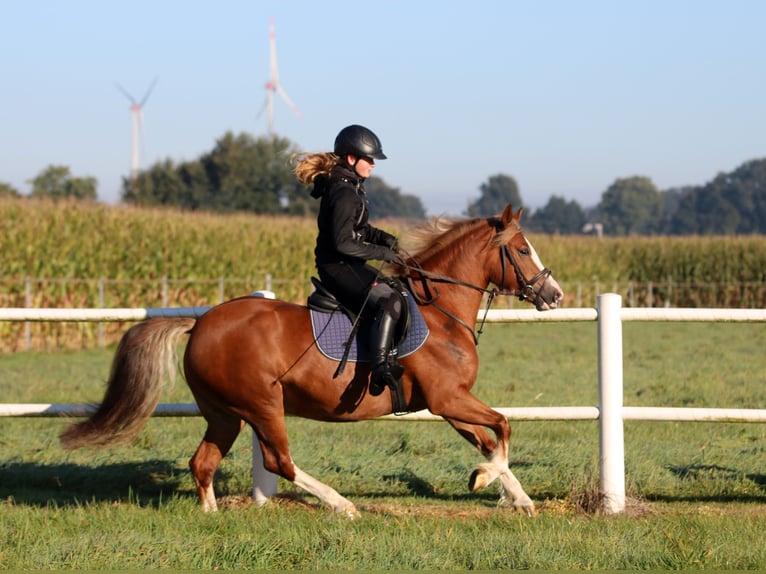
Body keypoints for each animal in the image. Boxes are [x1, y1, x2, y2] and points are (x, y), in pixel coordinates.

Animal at [61, 205, 564, 520]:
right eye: (522, 250)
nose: (554, 294)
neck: (440, 311)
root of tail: (200, 322)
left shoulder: (447, 404)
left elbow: (489, 438)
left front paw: (515, 497)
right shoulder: (448, 399)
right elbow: (503, 427)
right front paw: (483, 480)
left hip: (224, 414)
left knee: (202, 462)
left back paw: (212, 514)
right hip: (263, 406)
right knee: (278, 460)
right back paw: (342, 506)